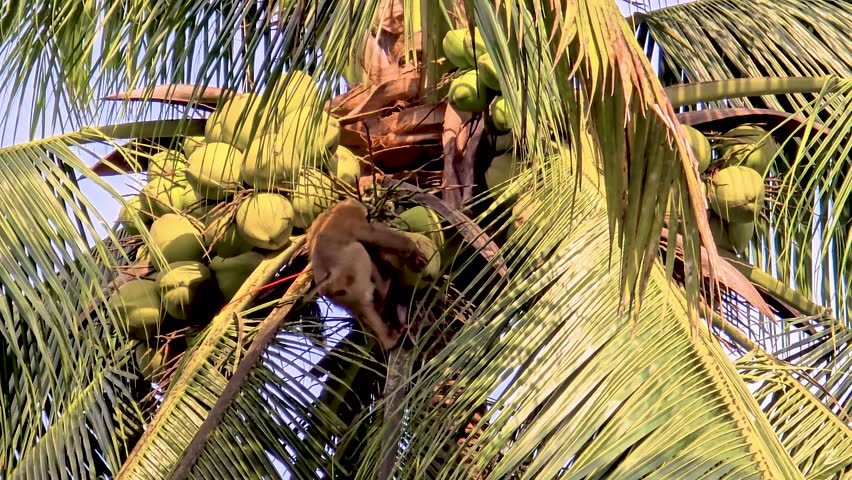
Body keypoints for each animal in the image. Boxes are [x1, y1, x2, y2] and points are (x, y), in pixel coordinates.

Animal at [306, 198, 428, 351]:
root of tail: (328, 279)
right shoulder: (353, 216)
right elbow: (372, 235)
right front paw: (412, 250)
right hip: (351, 270)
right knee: (360, 251)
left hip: (339, 293)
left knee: (360, 308)